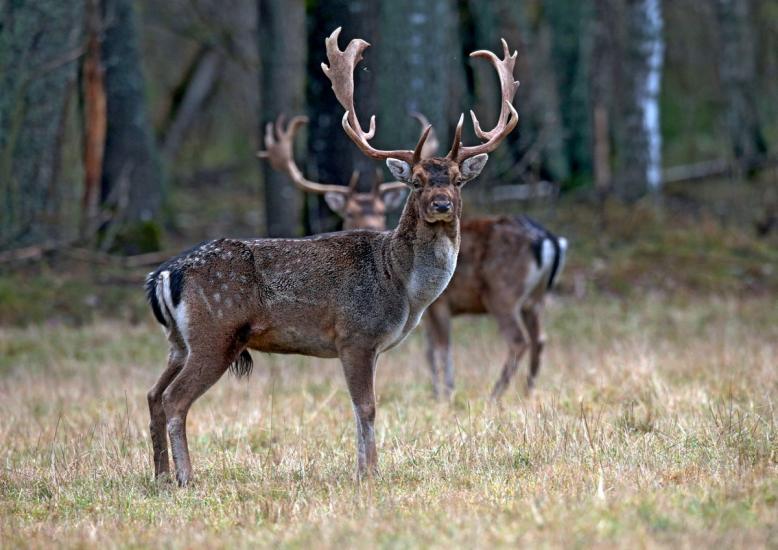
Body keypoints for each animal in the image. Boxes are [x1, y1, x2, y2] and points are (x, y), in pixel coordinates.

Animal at [142, 29, 520, 488]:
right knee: (175, 399)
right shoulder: (355, 334)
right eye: (416, 182)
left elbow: (365, 407)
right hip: (215, 333)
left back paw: (161, 475)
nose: (442, 205)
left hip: (179, 341)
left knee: (153, 395)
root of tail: (163, 275)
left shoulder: (369, 345)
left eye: (457, 180)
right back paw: (185, 478)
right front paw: (368, 473)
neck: (401, 284)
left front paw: (365, 469)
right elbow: (367, 407)